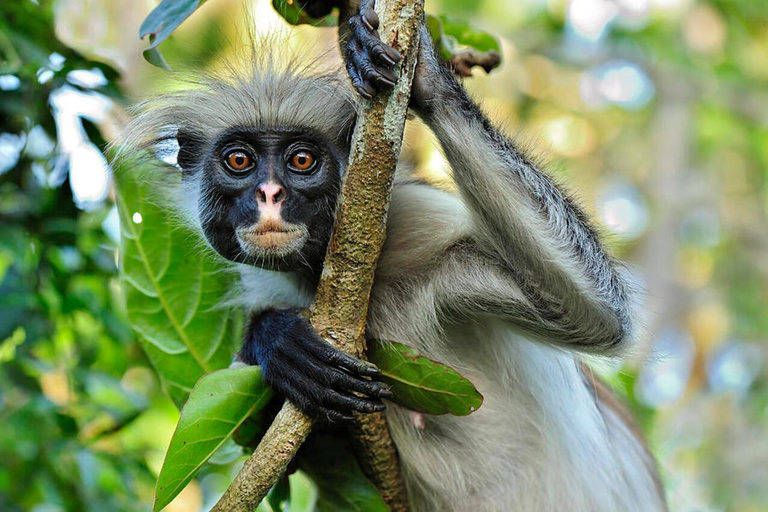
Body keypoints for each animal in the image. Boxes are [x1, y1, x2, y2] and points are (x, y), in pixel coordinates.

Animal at [120, 4, 664, 512]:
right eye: (239, 161)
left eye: (301, 160)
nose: (269, 193)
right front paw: (276, 341)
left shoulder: (418, 231)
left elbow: (595, 315)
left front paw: (426, 75)